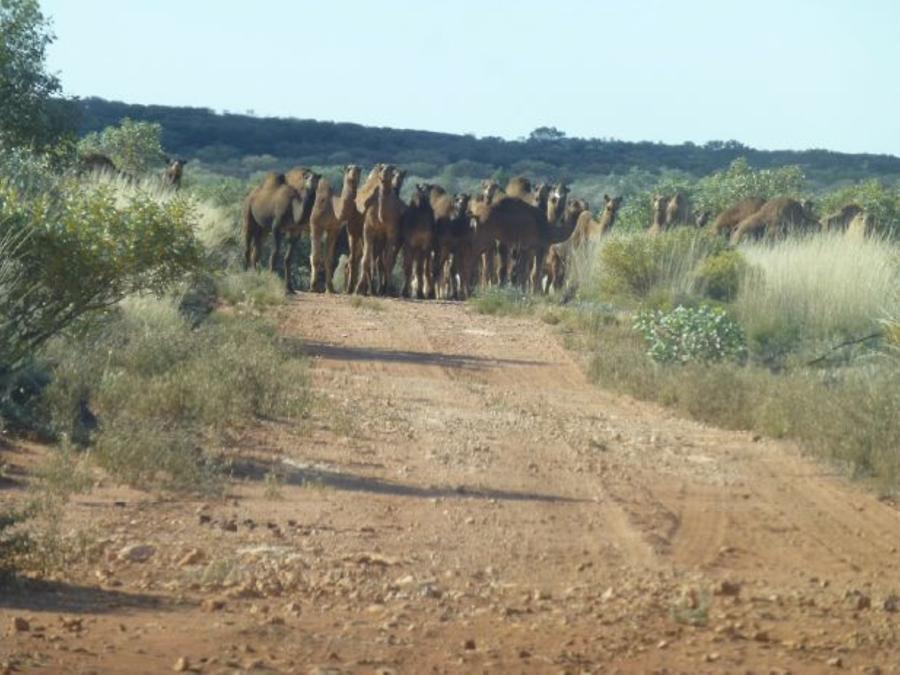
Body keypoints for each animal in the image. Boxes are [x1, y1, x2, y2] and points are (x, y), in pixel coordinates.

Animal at [354, 165, 406, 294]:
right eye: (382, 168)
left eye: (391, 169)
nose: (385, 175)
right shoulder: (368, 229)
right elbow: (366, 260)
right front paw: (361, 289)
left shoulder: (392, 232)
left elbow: (388, 260)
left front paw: (387, 289)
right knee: (373, 259)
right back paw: (368, 288)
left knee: (384, 261)